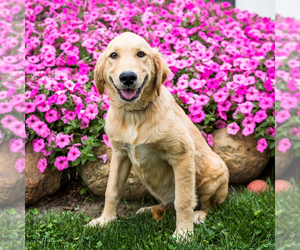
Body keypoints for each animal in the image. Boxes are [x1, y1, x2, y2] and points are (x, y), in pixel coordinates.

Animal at [88, 32, 229, 239]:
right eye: (113, 55)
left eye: (141, 54)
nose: (128, 77)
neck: (134, 114)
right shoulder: (120, 153)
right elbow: (111, 190)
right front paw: (105, 220)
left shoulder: (182, 155)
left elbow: (184, 200)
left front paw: (184, 233)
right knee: (167, 204)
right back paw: (150, 209)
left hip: (213, 177)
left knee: (205, 204)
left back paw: (199, 215)